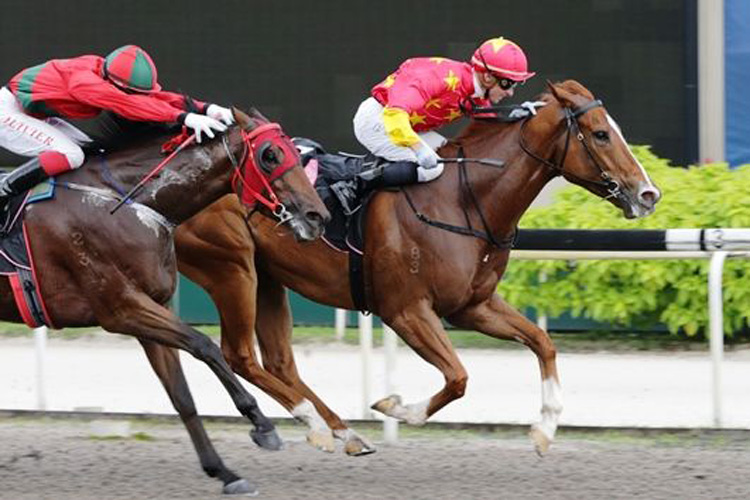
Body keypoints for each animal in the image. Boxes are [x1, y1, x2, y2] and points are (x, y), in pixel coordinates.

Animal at [1, 107, 328, 494]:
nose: (317, 216)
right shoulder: (121, 308)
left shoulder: (149, 311)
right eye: (270, 155)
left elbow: (182, 396)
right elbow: (205, 346)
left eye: (294, 152)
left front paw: (225, 472)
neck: (125, 203)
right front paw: (262, 424)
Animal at [173, 81, 660, 458]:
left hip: (268, 278)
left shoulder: (473, 305)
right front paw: (397, 407)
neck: (463, 199)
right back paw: (317, 425)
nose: (648, 193)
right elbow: (459, 377)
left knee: (280, 363)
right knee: (239, 354)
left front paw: (545, 429)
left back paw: (342, 432)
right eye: (600, 134)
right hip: (232, 268)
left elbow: (543, 343)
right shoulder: (405, 310)